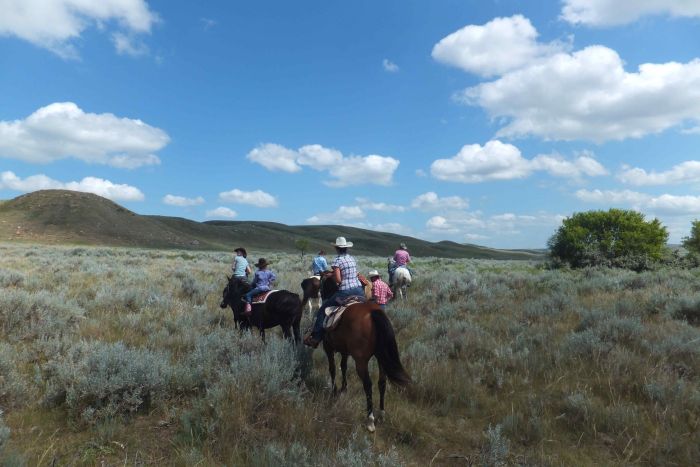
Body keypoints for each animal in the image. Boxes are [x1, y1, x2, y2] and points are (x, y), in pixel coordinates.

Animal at [318, 274, 410, 432]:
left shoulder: (328, 348)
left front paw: (334, 391)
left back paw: (370, 420)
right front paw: (343, 389)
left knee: (368, 384)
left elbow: (333, 369)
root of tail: (373, 312)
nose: (322, 296)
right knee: (382, 382)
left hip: (361, 361)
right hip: (381, 358)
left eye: (323, 283)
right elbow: (343, 367)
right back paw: (381, 415)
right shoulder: (345, 351)